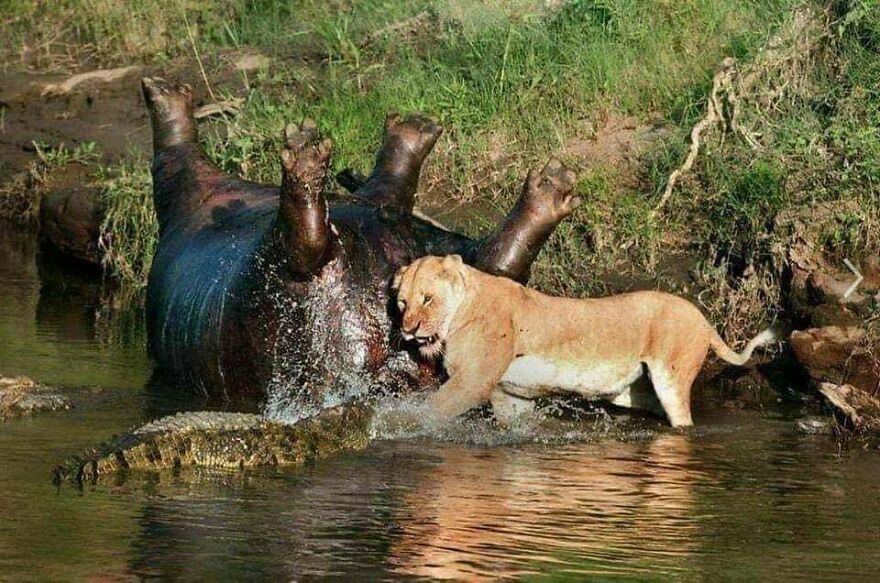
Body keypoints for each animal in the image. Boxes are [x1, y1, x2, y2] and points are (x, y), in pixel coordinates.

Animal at [392, 255, 777, 427]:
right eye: (402, 303)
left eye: (427, 299)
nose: (408, 330)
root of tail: (703, 319)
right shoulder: (509, 394)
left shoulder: (473, 381)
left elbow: (432, 410)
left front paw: (395, 424)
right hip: (633, 392)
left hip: (671, 378)